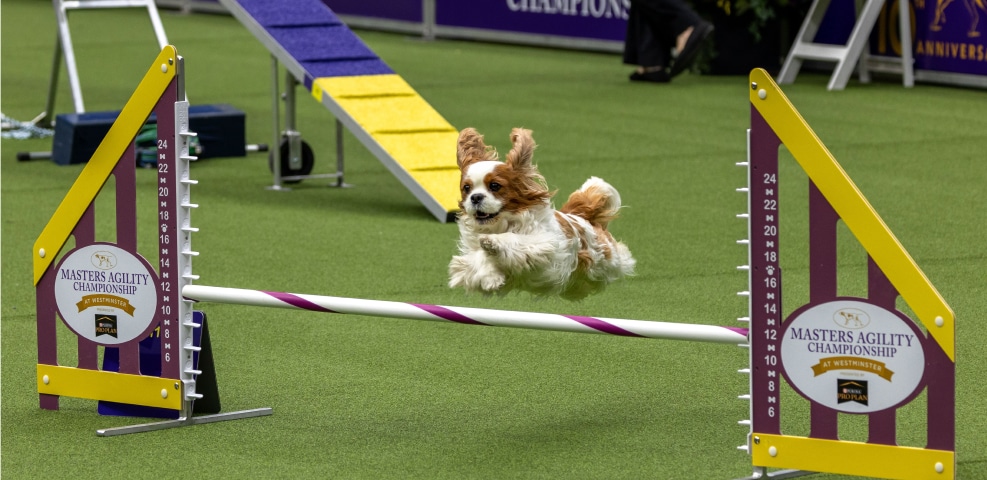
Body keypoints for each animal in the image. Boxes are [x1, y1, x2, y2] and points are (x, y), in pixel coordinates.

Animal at [450, 127, 636, 300]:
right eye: (467, 188)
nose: (475, 197)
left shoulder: (544, 242)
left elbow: (512, 238)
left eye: (495, 186)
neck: (501, 224)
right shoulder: (469, 257)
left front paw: (492, 241)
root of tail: (581, 216)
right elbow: (477, 258)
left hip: (605, 260)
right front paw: (490, 278)